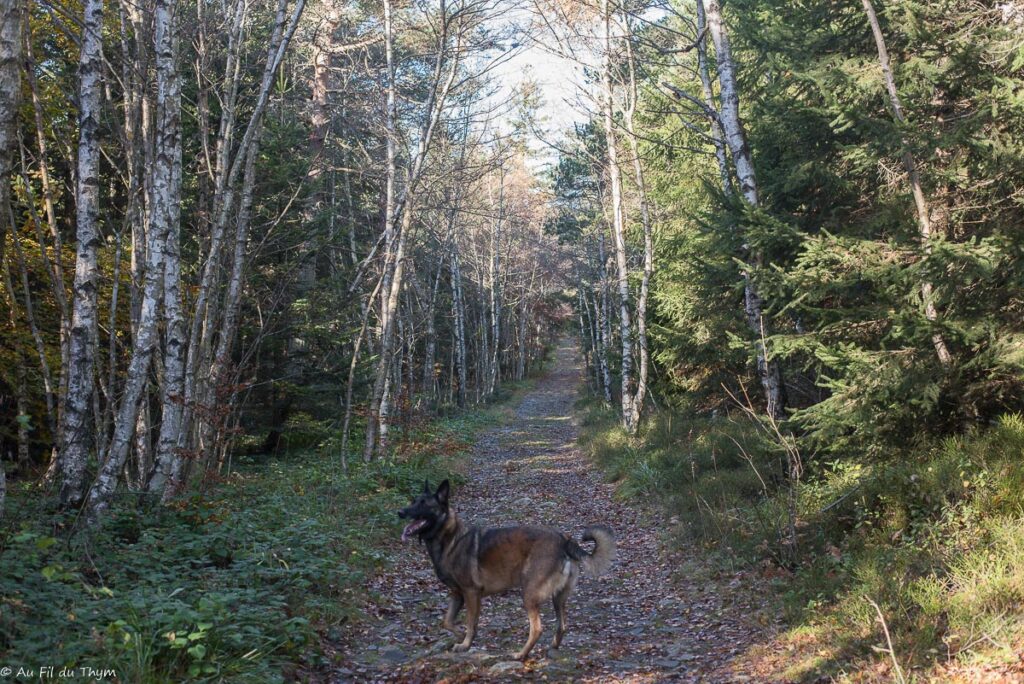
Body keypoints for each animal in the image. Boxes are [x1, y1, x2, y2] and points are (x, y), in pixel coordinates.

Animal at [395, 479, 610, 659]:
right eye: (413, 501)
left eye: (423, 504)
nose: (400, 512)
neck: (448, 537)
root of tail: (564, 539)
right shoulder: (457, 594)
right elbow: (447, 621)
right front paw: (461, 636)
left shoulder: (471, 593)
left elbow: (470, 622)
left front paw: (466, 643)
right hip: (558, 597)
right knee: (562, 625)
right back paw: (553, 647)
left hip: (529, 594)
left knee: (537, 628)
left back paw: (521, 655)